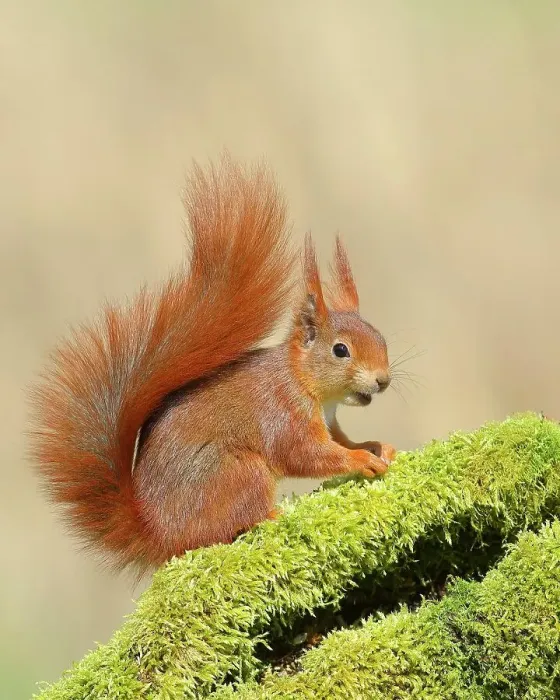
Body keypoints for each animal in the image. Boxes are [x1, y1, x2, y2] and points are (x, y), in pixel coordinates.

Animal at [29, 156, 396, 574]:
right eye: (340, 350)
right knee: (223, 530)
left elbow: (339, 441)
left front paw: (374, 446)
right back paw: (269, 517)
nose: (383, 380)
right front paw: (360, 460)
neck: (305, 382)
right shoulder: (282, 412)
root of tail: (159, 532)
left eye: (382, 338)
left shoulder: (329, 419)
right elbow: (304, 454)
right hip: (238, 473)